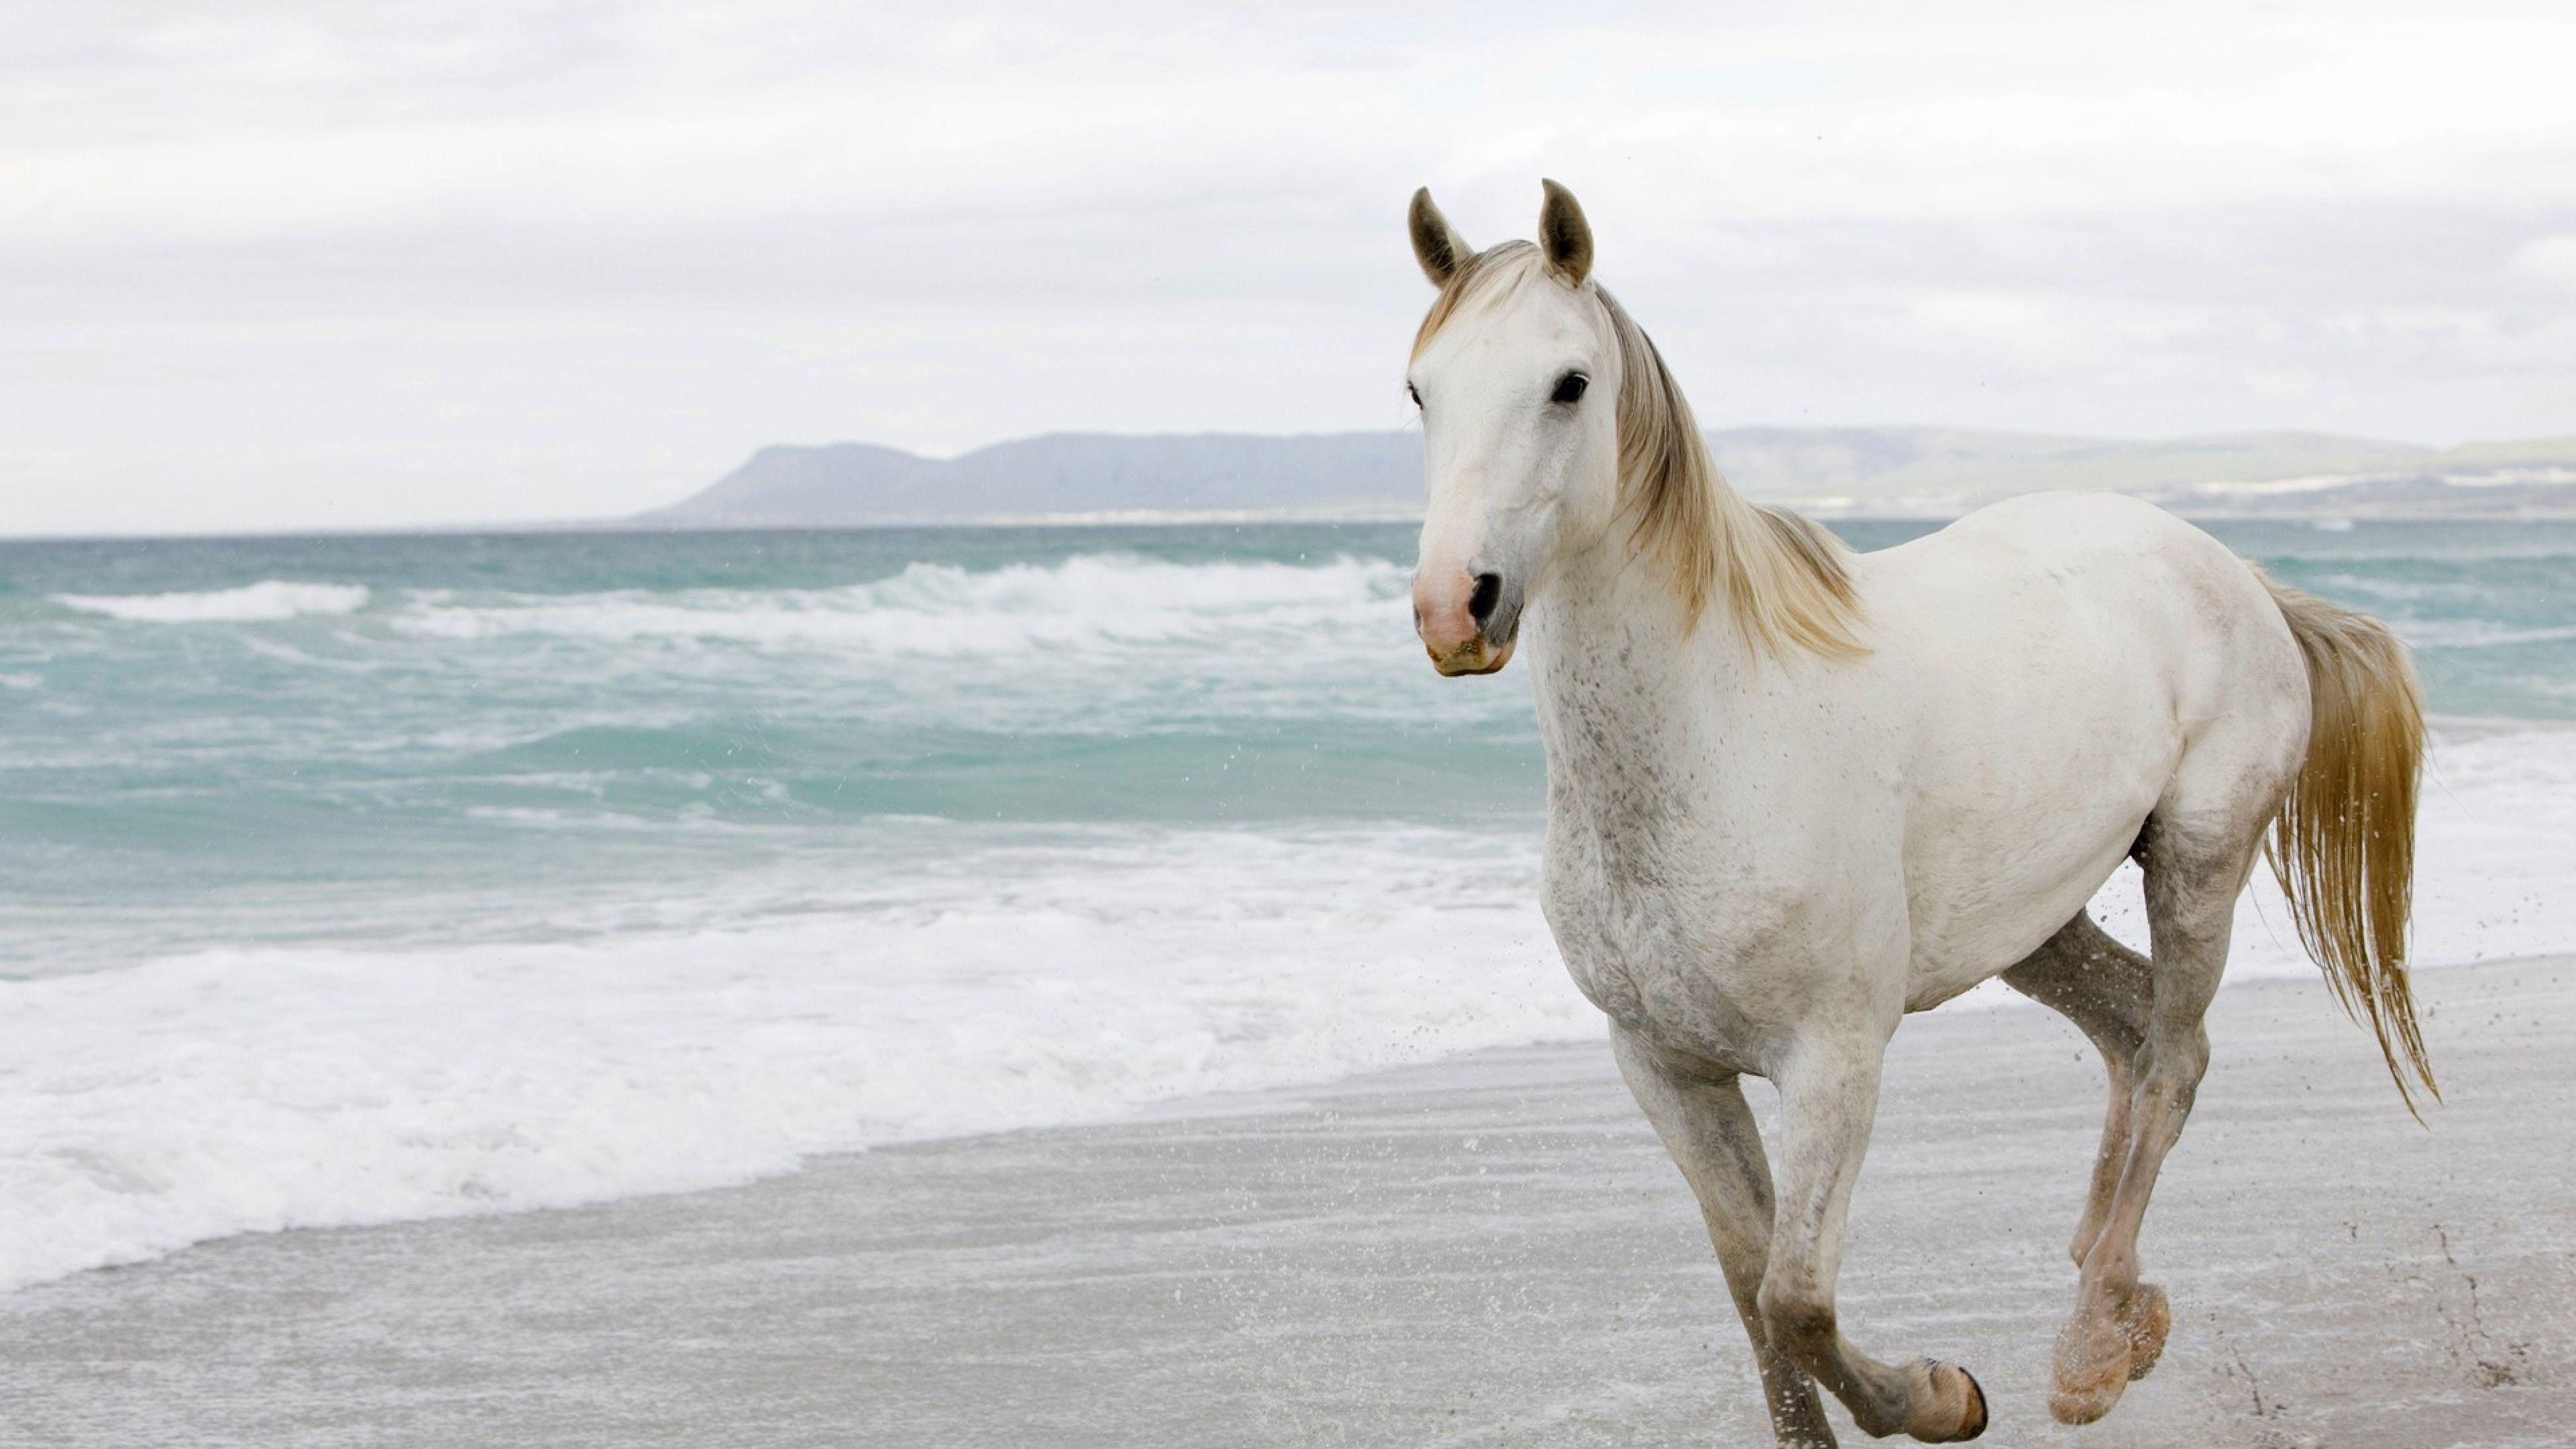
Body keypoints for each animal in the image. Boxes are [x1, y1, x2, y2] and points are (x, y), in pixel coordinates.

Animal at [1411, 182, 2431, 1444]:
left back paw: (2090, 1351)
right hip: (2032, 925)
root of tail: (2240, 576)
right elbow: (1751, 1295)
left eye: (1568, 383)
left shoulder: (1833, 1061)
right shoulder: (1665, 1067)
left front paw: (1944, 1397)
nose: (1454, 607)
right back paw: (2117, 1301)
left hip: (2198, 862)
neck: (1714, 731)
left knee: (2176, 1055)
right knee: (2133, 1031)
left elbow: (1796, 1300)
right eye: (1421, 390)